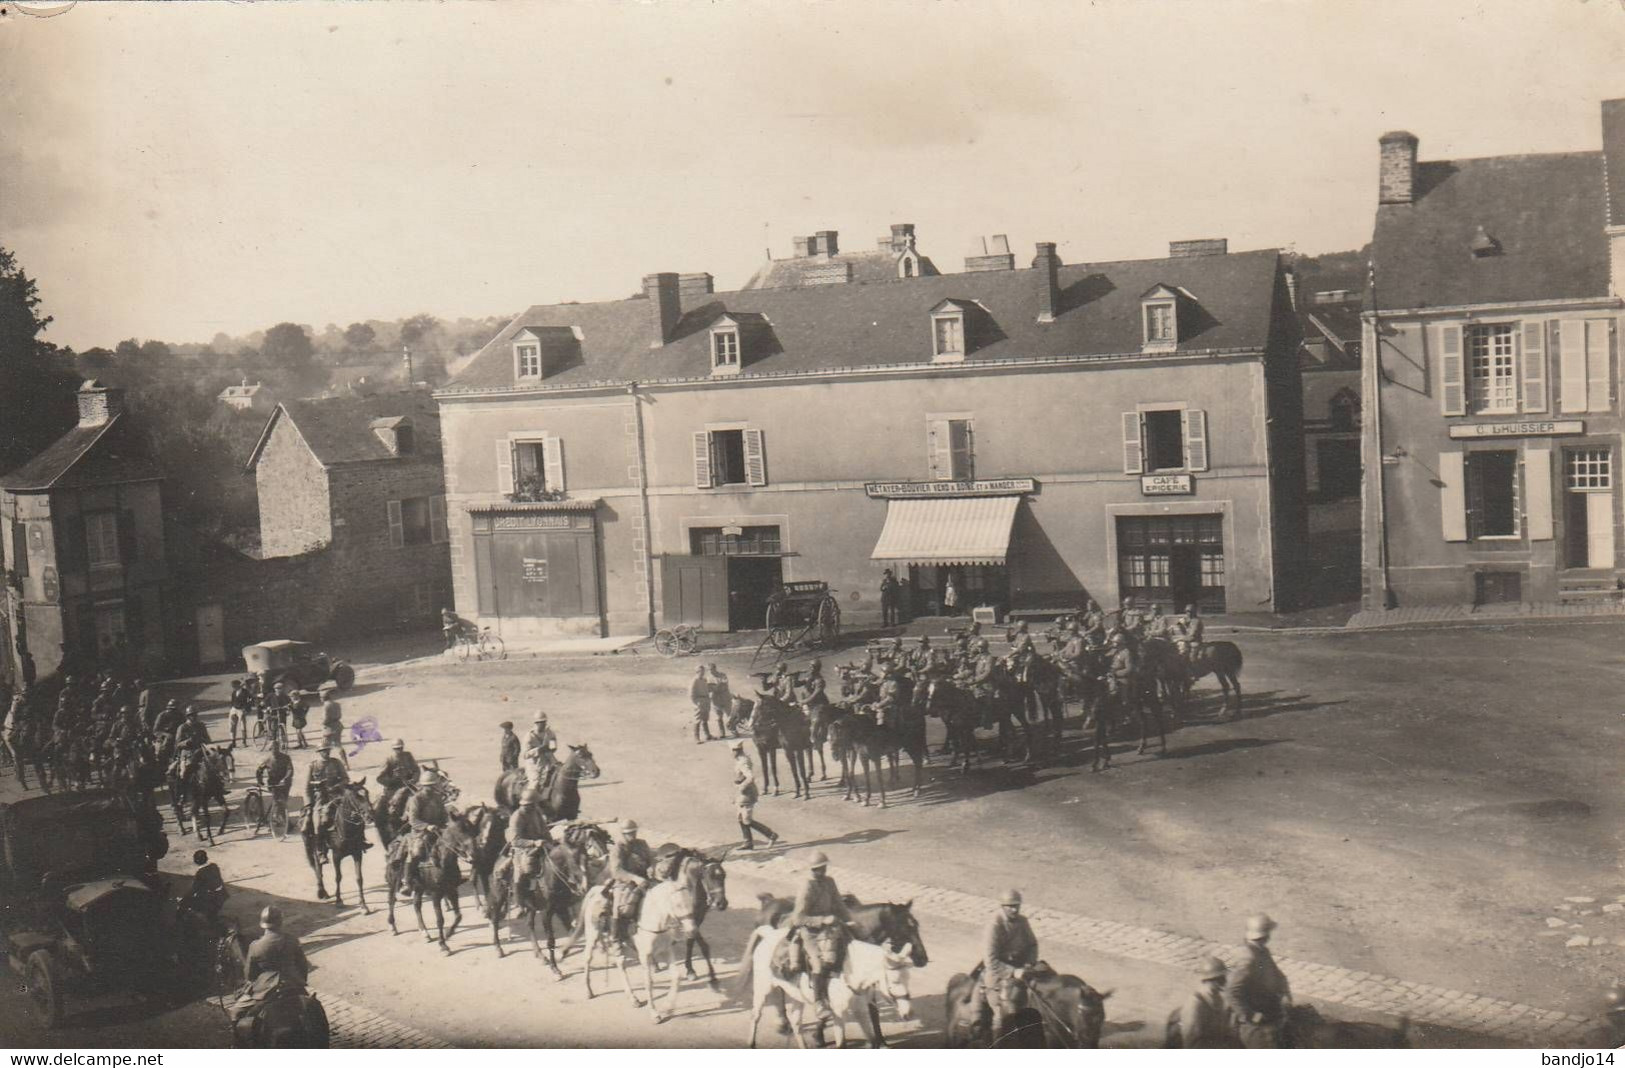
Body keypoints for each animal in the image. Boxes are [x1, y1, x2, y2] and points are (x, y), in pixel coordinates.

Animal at [300, 773, 372, 910]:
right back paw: (322, 892)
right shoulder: (336, 856)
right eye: (356, 796)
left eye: (367, 793)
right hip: (314, 847)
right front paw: (339, 900)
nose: (370, 815)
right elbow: (338, 877)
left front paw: (363, 904)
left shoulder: (357, 853)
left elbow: (359, 878)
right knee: (318, 868)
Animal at [385, 809, 474, 949]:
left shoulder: (452, 891)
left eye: (471, 827)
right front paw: (443, 944)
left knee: (416, 905)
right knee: (391, 901)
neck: (441, 863)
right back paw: (392, 926)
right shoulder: (436, 895)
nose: (473, 853)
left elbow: (458, 916)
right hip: (393, 884)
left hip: (418, 888)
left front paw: (448, 934)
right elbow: (440, 920)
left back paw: (424, 932)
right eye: (460, 830)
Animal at [484, 825, 611, 975]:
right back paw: (498, 948)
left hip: (531, 907)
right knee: (495, 919)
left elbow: (572, 930)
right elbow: (551, 940)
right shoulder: (547, 912)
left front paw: (564, 952)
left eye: (586, 857)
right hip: (498, 898)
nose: (584, 887)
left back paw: (540, 955)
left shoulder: (561, 908)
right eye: (573, 859)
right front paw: (555, 968)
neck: (552, 876)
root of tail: (499, 860)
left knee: (529, 924)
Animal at [744, 923, 923, 1046]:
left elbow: (872, 1039)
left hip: (797, 997)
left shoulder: (859, 1010)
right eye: (895, 980)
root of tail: (768, 934)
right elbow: (841, 1044)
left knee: (796, 1023)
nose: (909, 1013)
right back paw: (751, 1044)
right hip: (762, 989)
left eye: (908, 979)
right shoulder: (838, 1013)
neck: (850, 969)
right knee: (755, 1016)